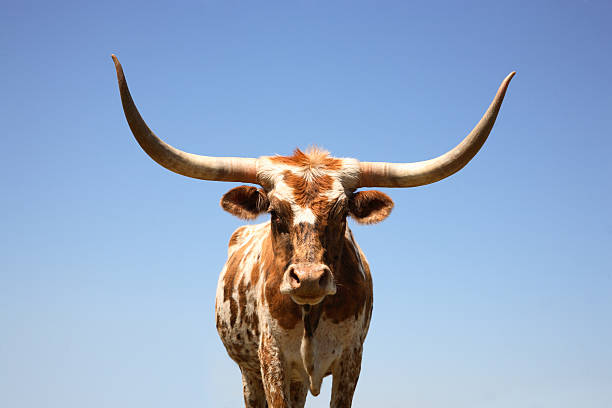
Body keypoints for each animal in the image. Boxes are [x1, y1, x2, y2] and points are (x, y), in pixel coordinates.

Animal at [112, 55, 512, 408]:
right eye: (274, 213)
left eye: (341, 213)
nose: (307, 279)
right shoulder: (270, 359)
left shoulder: (351, 359)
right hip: (252, 374)